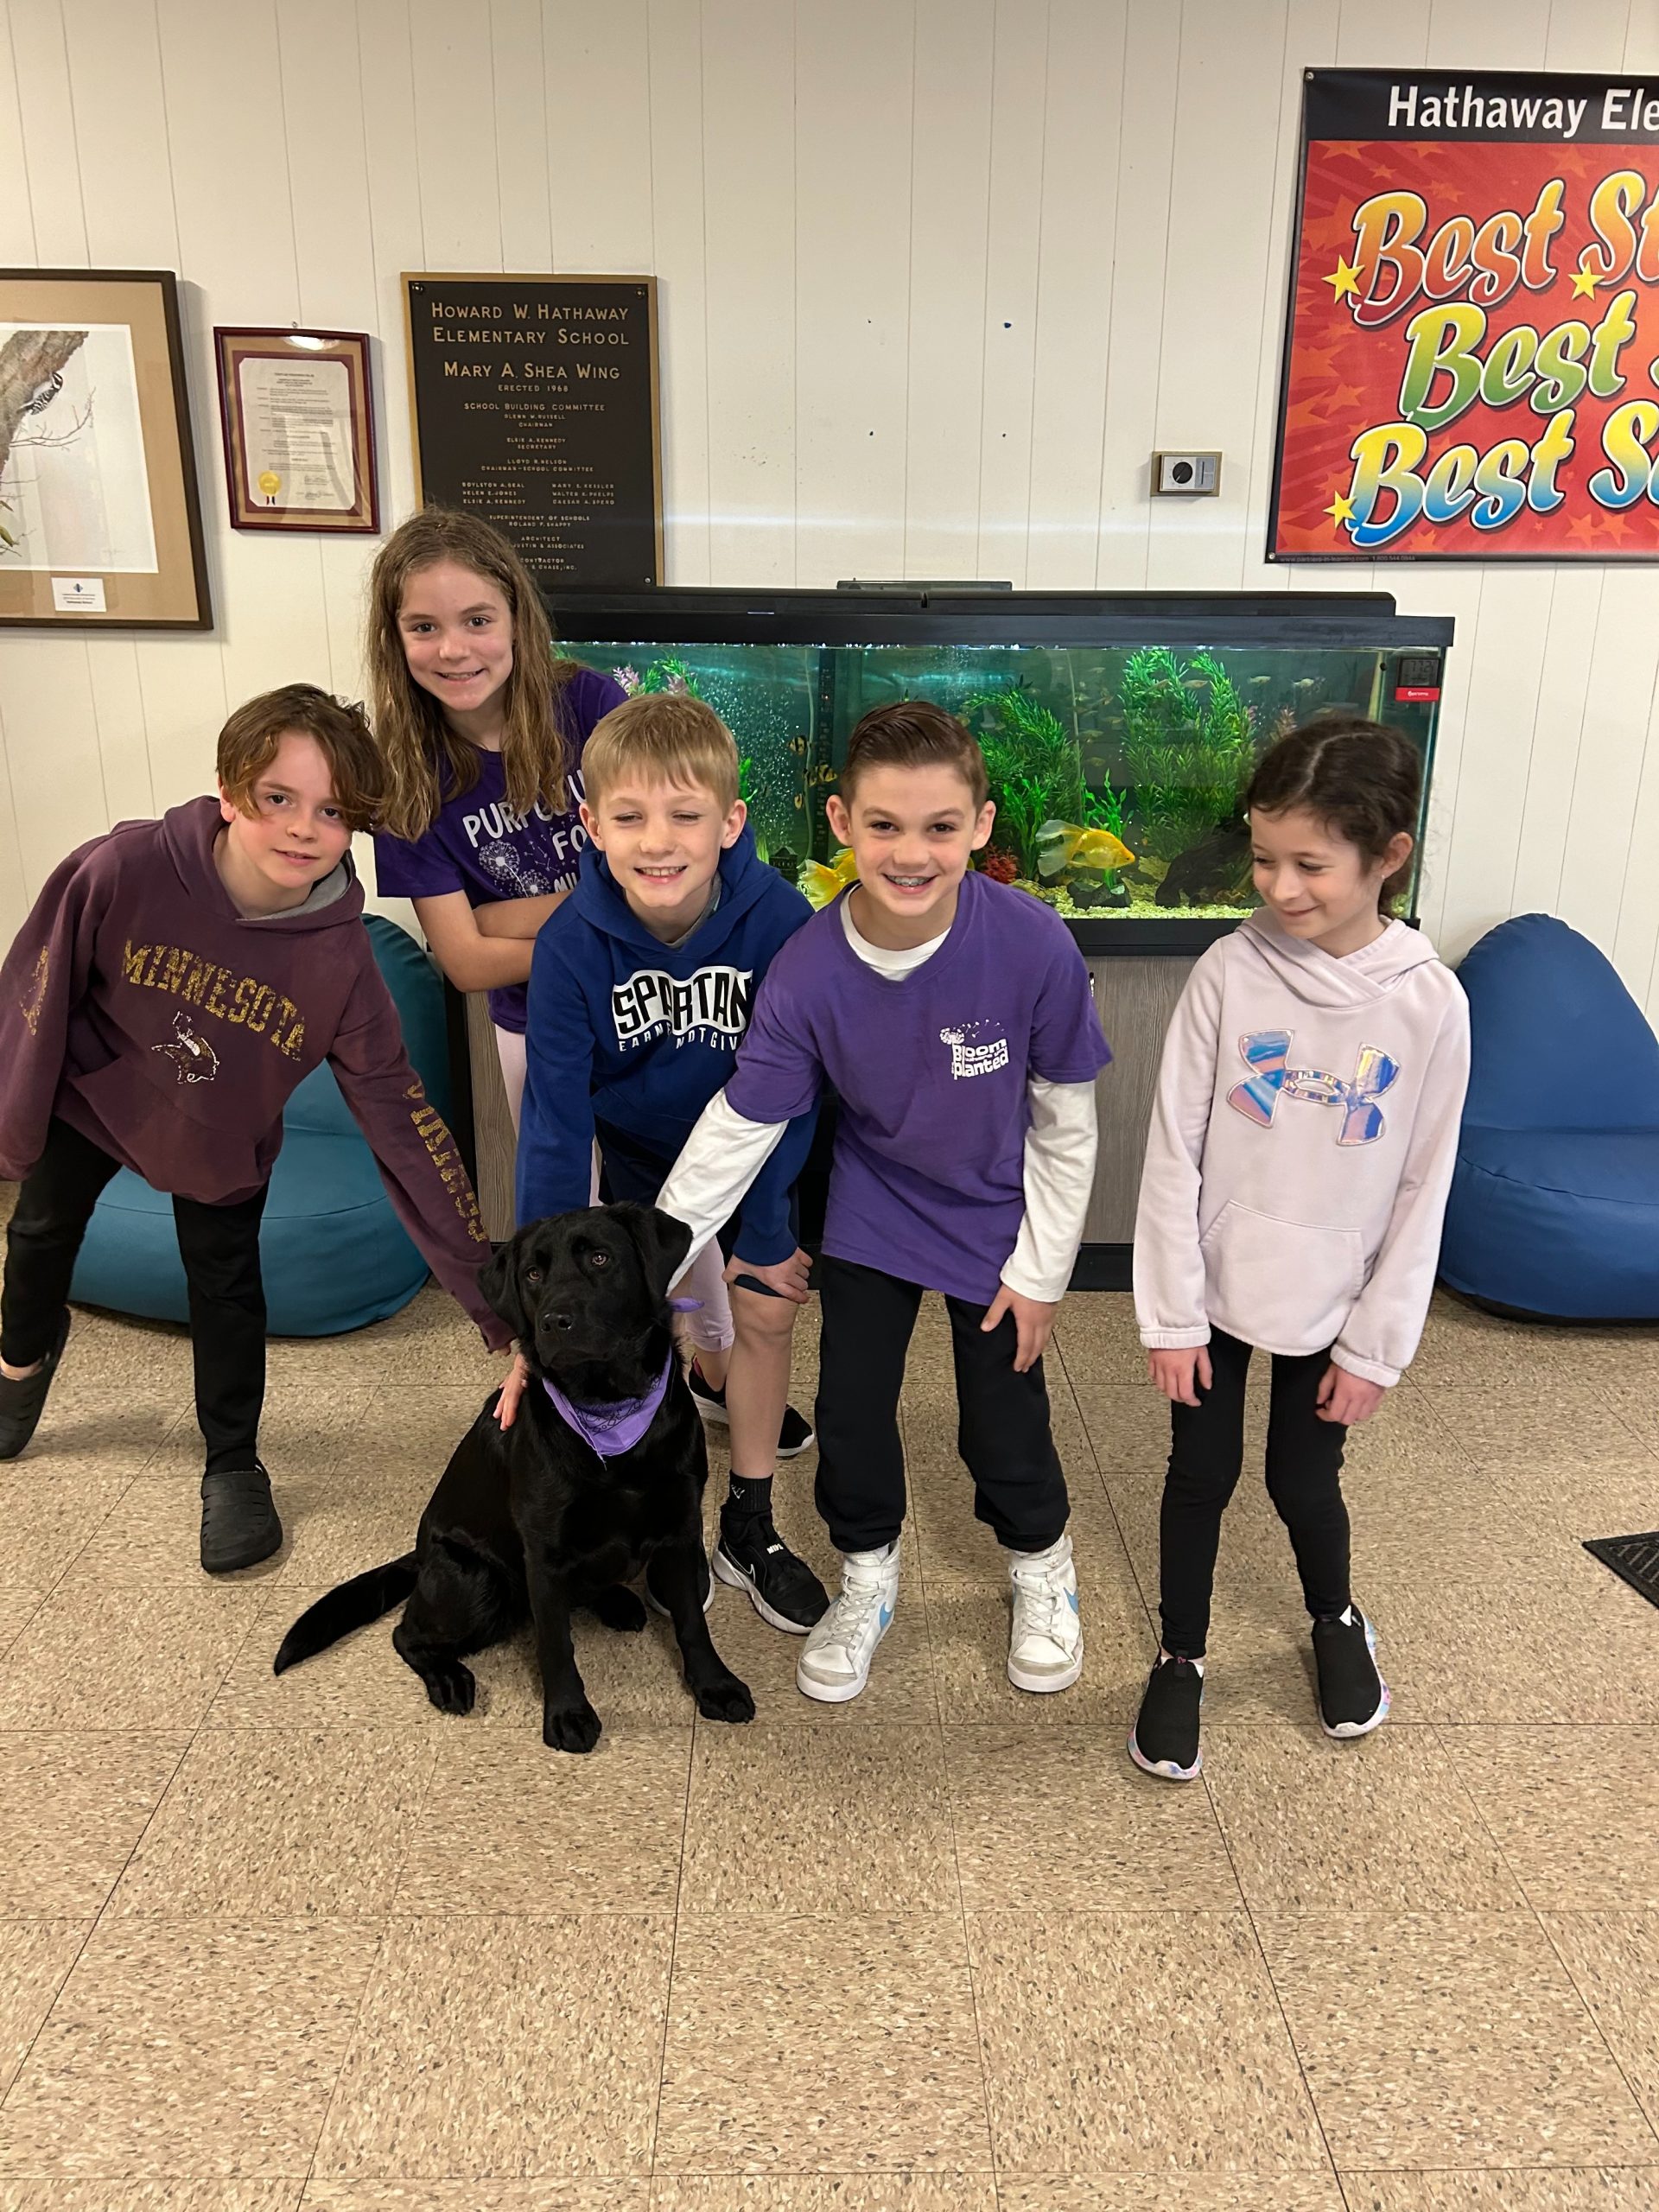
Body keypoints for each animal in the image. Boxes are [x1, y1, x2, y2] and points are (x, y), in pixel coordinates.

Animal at [273, 1203, 755, 1752]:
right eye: (532, 1274)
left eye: (600, 1258)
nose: (554, 1322)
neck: (610, 1415)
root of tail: (419, 1556)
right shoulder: (543, 1553)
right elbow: (555, 1643)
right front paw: (567, 1714)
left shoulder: (680, 1531)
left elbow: (693, 1623)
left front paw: (715, 1685)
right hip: (475, 1582)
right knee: (406, 1634)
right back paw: (449, 1679)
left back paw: (615, 1601)